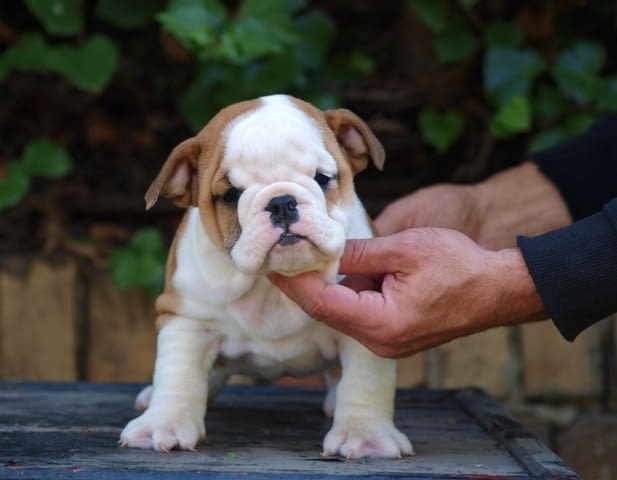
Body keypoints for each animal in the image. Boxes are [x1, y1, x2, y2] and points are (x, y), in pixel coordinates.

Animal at [118, 93, 412, 458]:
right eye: (231, 194)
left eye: (322, 178)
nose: (282, 202)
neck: (267, 285)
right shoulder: (187, 318)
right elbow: (178, 374)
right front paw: (164, 423)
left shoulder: (364, 324)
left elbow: (366, 381)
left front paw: (365, 434)